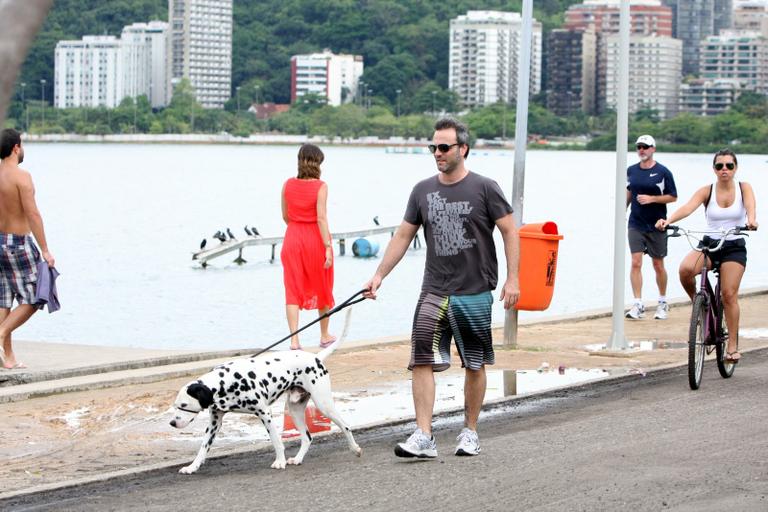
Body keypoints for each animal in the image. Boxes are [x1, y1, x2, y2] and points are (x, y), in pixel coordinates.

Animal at [170, 308, 362, 472]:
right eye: (175, 406)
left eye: (184, 405)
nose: (172, 423)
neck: (226, 382)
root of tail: (316, 357)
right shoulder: (214, 423)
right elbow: (203, 447)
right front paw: (192, 467)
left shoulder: (265, 413)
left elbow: (276, 441)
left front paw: (279, 461)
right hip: (295, 410)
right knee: (307, 438)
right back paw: (298, 459)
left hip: (323, 405)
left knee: (345, 426)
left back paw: (355, 448)